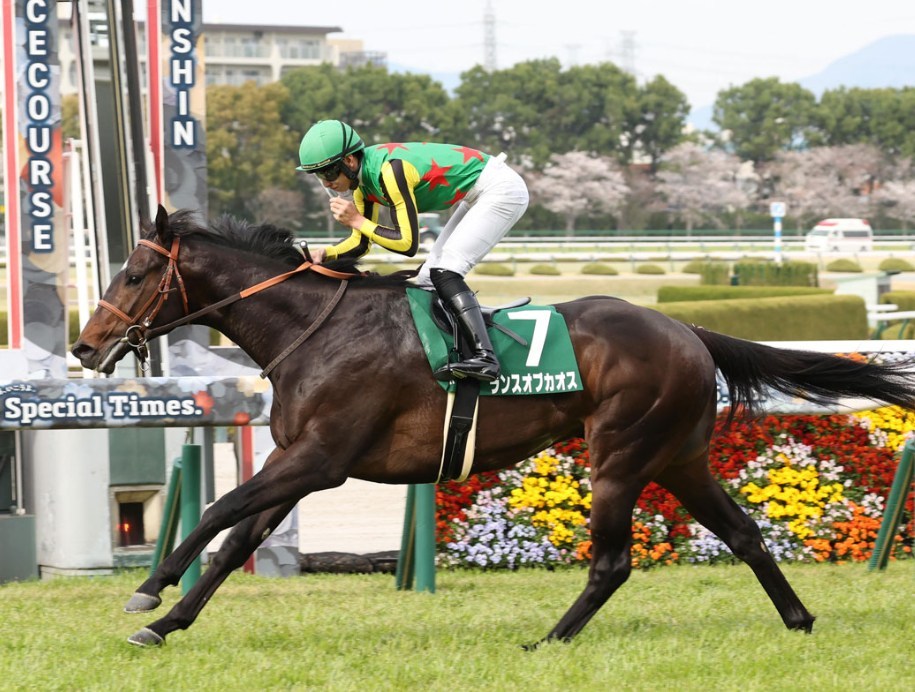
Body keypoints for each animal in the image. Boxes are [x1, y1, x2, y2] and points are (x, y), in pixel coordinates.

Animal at [72, 205, 915, 648]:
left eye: (136, 273)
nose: (84, 346)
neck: (314, 328)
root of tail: (685, 327)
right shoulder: (300, 458)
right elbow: (237, 538)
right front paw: (169, 620)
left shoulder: (320, 458)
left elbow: (217, 510)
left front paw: (148, 591)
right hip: (679, 456)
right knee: (742, 533)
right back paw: (798, 620)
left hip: (620, 454)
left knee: (612, 562)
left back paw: (549, 640)